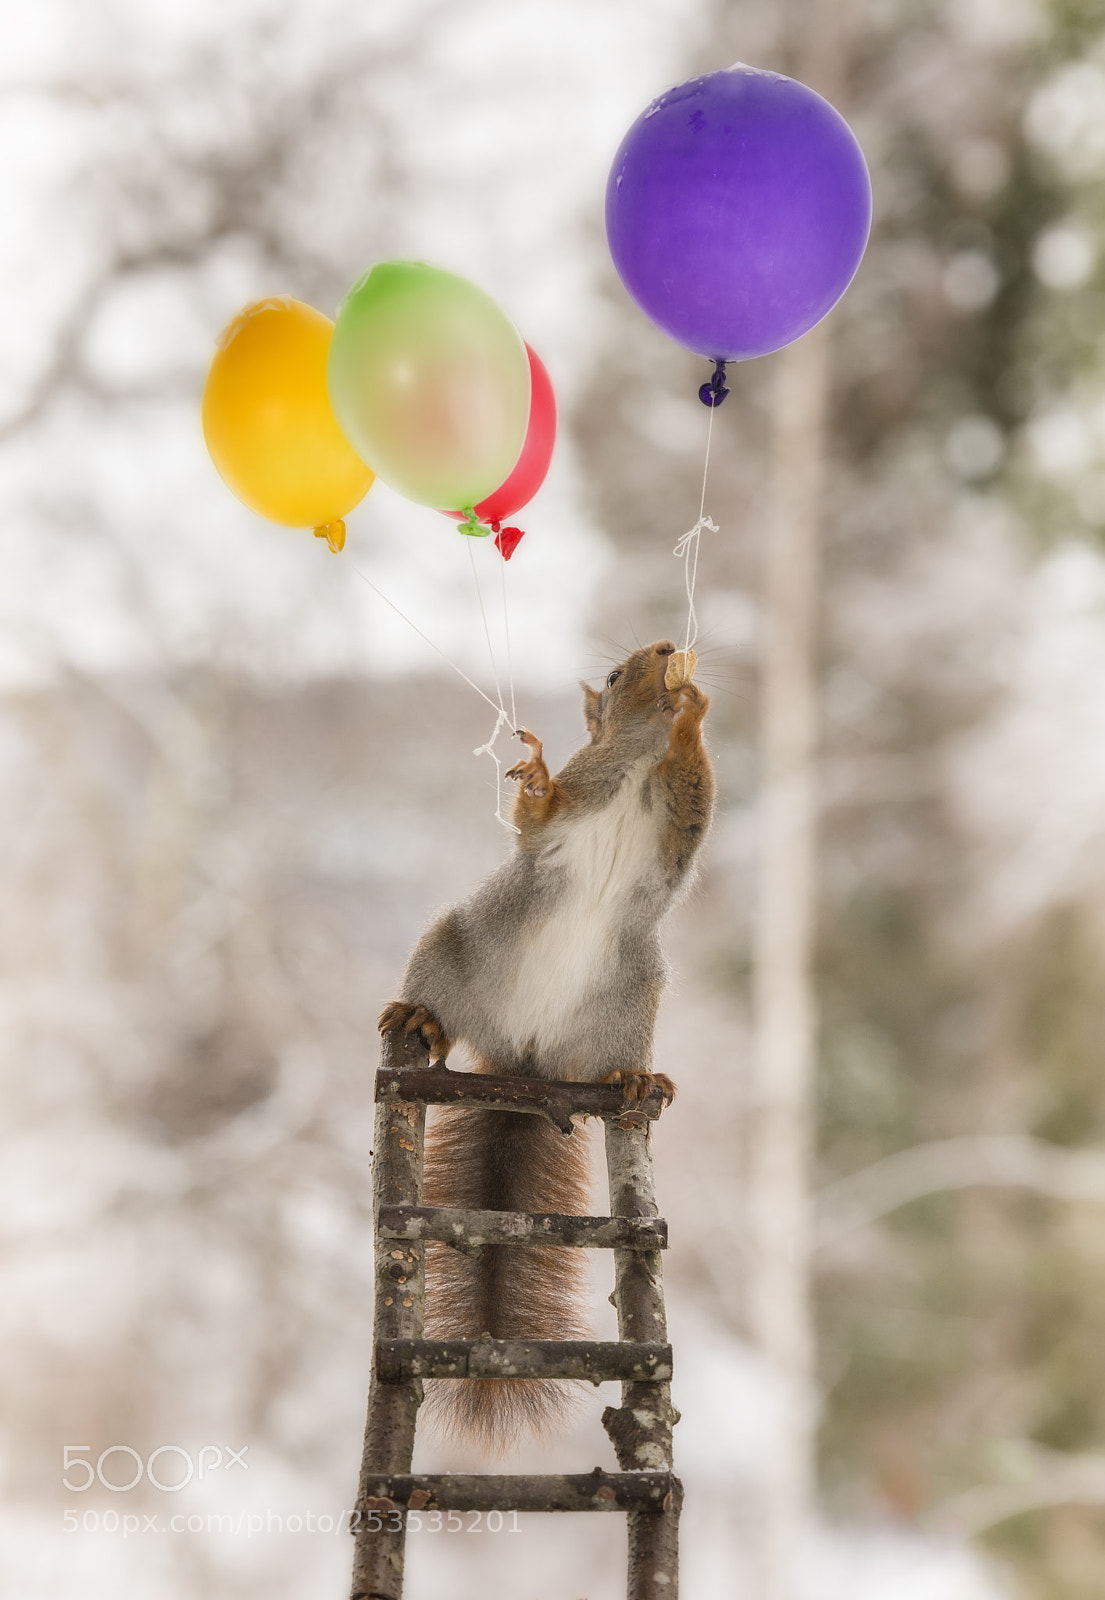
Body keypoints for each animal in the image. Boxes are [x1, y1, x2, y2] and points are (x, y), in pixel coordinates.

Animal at [378, 638, 713, 1450]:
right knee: (442, 1002)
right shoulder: (571, 802)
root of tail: (526, 1059)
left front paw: (692, 710)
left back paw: (633, 1079)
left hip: (631, 997)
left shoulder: (676, 835)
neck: (639, 763)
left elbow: (697, 803)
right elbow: (537, 815)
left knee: (615, 1054)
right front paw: (532, 766)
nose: (668, 648)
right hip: (456, 945)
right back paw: (425, 1020)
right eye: (617, 676)